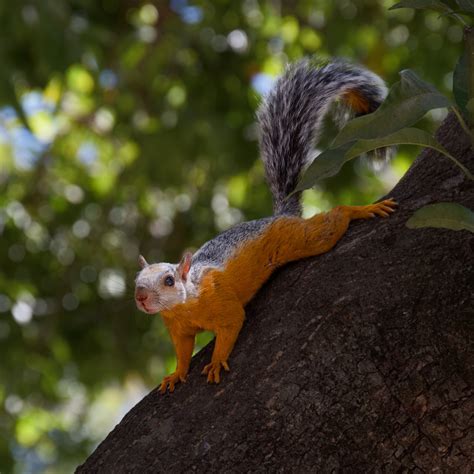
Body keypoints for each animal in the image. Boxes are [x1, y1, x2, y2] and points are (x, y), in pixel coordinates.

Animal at [135, 58, 398, 392]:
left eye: (169, 280)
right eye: (136, 281)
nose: (141, 297)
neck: (185, 304)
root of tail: (279, 215)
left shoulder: (221, 302)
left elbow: (232, 325)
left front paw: (217, 361)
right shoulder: (179, 329)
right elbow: (182, 351)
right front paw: (176, 374)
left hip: (300, 238)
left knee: (332, 221)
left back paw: (361, 210)